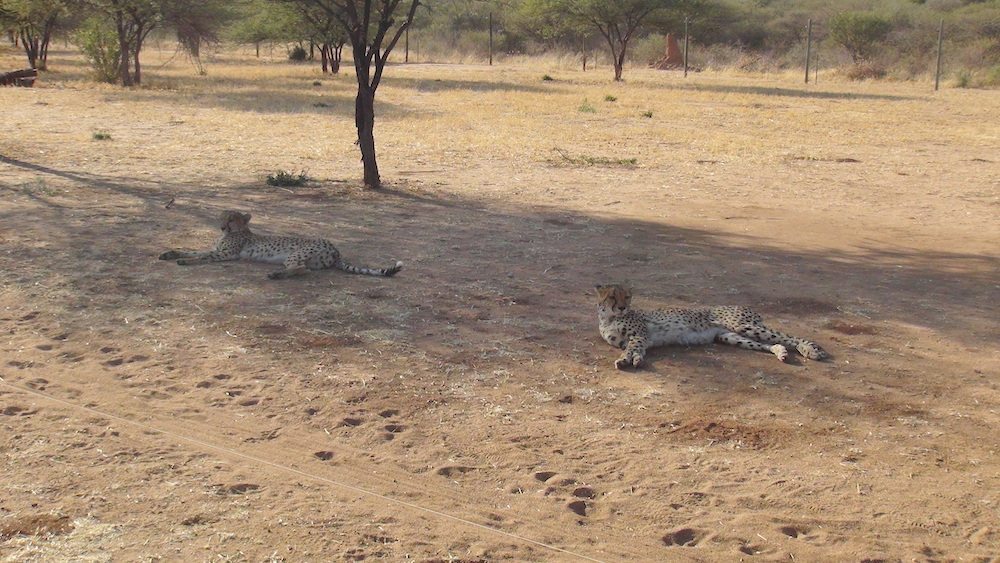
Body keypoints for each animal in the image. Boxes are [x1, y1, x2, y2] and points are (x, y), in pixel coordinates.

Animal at [160, 210, 402, 280]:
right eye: (222, 217)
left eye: (232, 219)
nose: (221, 227)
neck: (239, 231)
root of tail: (335, 249)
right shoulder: (216, 250)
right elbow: (191, 250)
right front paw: (169, 254)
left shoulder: (227, 255)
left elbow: (201, 257)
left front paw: (184, 262)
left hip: (294, 255)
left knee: (303, 269)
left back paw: (276, 275)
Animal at [592, 286, 828, 370]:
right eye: (612, 296)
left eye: (626, 296)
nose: (622, 307)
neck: (609, 317)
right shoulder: (635, 339)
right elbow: (633, 349)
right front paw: (631, 359)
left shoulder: (640, 335)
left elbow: (632, 348)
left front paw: (628, 360)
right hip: (729, 336)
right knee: (771, 343)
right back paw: (781, 353)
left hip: (743, 325)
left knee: (789, 337)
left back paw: (811, 350)